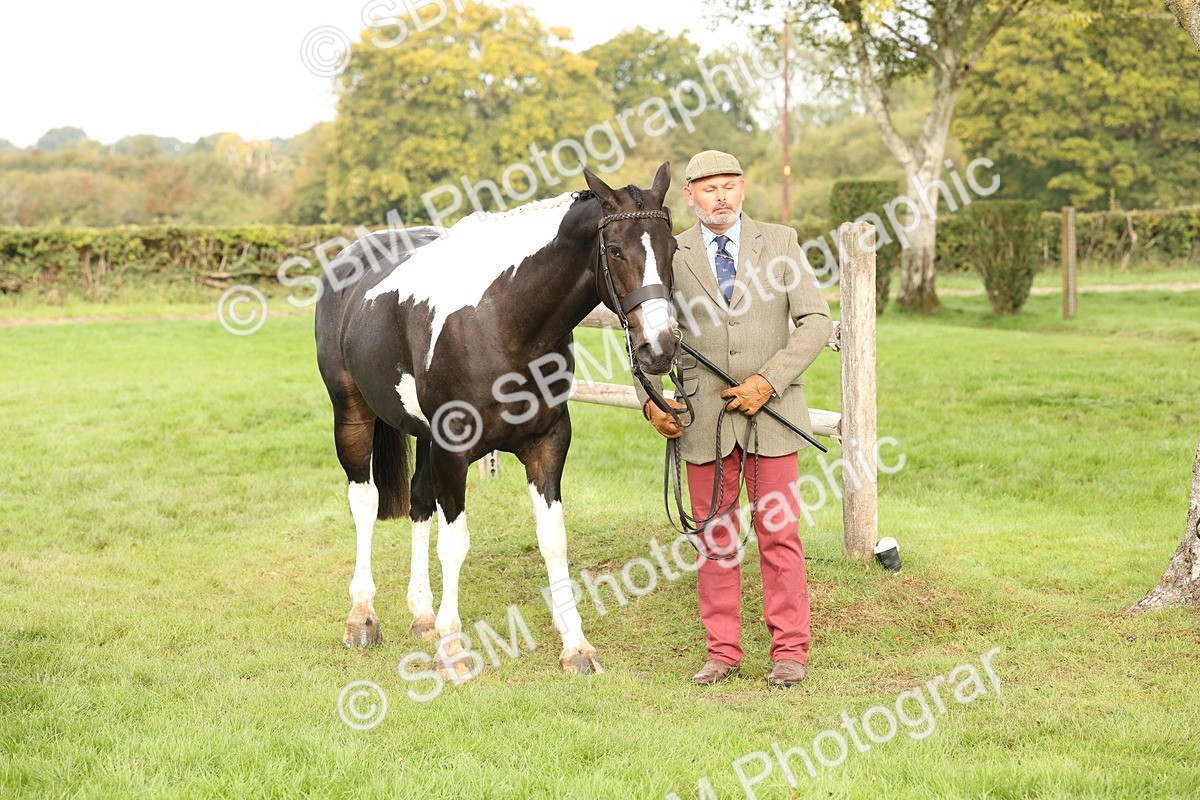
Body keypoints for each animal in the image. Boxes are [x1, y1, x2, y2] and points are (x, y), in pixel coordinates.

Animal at [315, 163, 679, 676]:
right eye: (615, 250)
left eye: (674, 248)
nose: (660, 347)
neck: (500, 320)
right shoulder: (452, 449)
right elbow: (455, 542)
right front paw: (453, 648)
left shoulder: (547, 443)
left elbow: (553, 539)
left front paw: (576, 645)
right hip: (351, 413)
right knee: (365, 502)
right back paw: (363, 616)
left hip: (424, 438)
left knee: (418, 501)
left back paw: (422, 614)